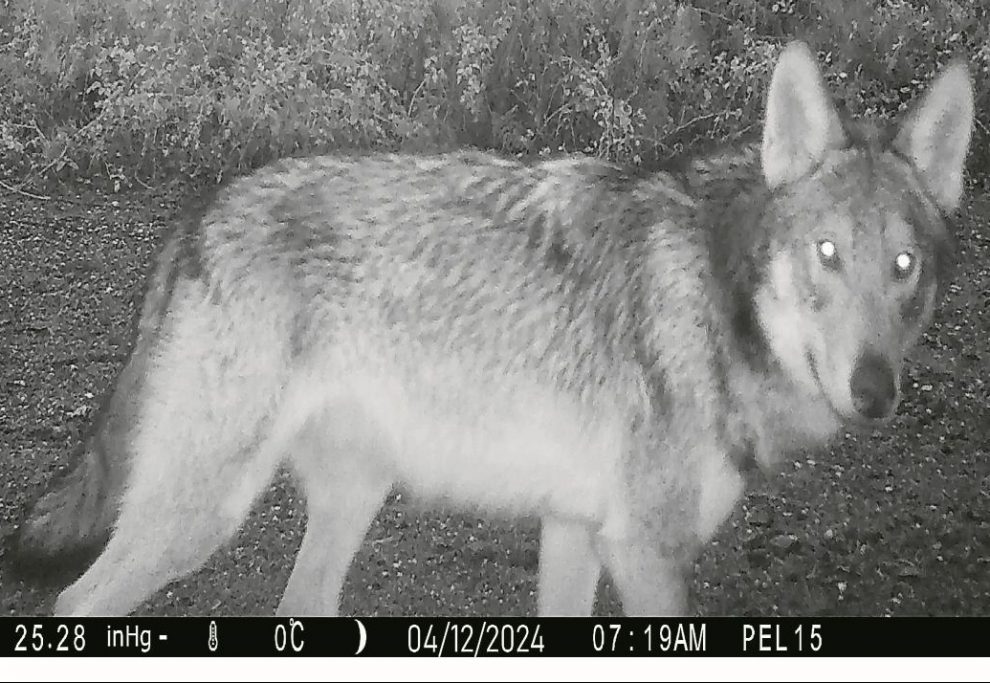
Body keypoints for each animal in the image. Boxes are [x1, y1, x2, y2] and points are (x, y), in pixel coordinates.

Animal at [7, 44, 976, 620]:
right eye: (825, 254)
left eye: (903, 266)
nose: (874, 391)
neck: (716, 292)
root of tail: (202, 210)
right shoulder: (644, 553)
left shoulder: (576, 530)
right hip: (198, 514)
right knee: (74, 606)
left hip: (347, 499)